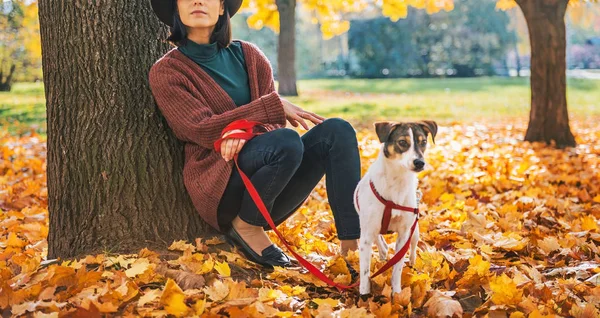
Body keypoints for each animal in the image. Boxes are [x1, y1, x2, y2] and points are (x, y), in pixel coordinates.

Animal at [354, 120, 438, 296]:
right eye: (402, 142)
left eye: (423, 142)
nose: (420, 162)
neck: (397, 181)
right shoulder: (366, 234)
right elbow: (365, 271)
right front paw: (364, 294)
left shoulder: (404, 234)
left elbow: (397, 267)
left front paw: (397, 294)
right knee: (380, 242)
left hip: (415, 231)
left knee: (413, 247)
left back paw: (411, 263)